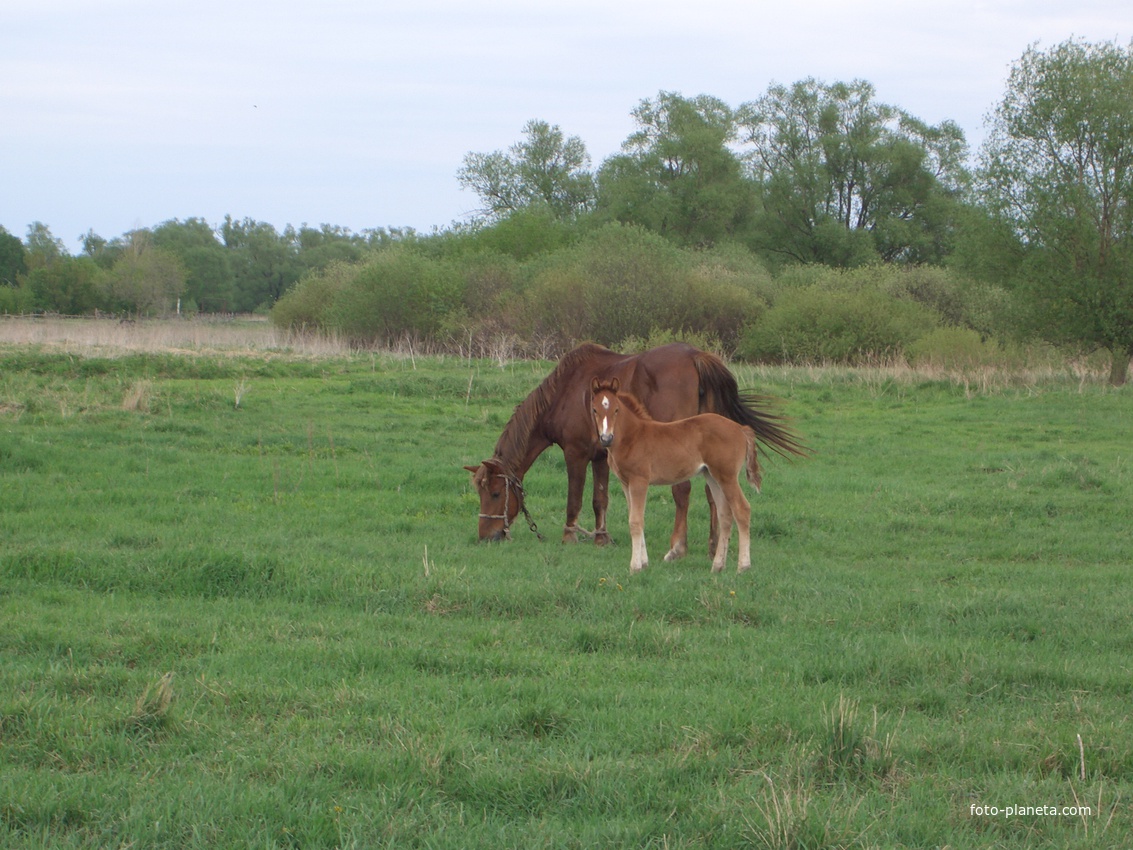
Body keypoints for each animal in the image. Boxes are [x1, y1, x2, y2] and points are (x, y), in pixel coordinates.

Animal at [462, 342, 806, 555]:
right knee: (714, 496)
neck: (566, 391)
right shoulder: (601, 456)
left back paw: (678, 547)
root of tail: (696, 356)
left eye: (495, 493)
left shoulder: (575, 454)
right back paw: (713, 547)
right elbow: (599, 500)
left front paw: (569, 535)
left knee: (683, 493)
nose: (486, 536)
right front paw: (601, 538)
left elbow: (575, 499)